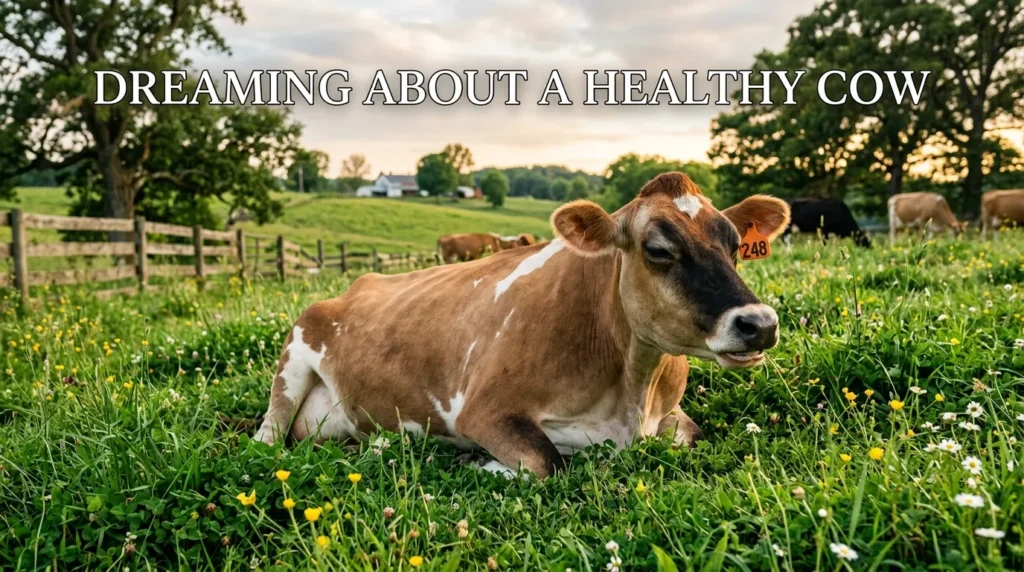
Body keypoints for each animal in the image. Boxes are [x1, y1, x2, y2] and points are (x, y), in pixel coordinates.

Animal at [254, 172, 790, 478]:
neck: (629, 392)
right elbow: (544, 462)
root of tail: (358, 283)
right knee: (266, 440)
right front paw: (481, 463)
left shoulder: (670, 414)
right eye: (658, 249)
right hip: (292, 362)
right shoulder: (483, 410)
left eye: (737, 245)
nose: (759, 323)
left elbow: (694, 435)